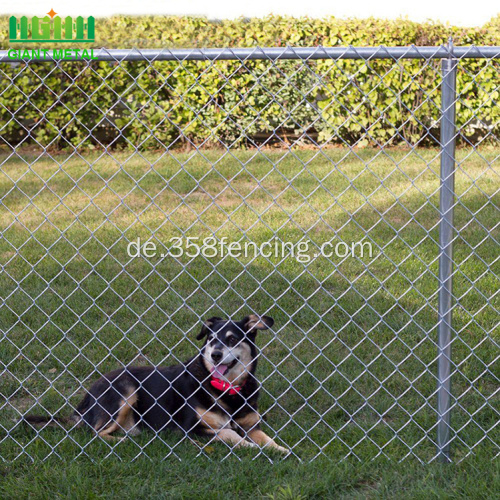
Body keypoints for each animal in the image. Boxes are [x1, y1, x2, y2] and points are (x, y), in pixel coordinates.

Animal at [24, 316, 290, 454]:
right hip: (125, 390)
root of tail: (86, 399)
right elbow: (229, 433)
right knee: (94, 433)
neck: (228, 389)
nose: (215, 355)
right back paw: (122, 441)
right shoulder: (191, 428)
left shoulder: (251, 424)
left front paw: (280, 449)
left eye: (233, 339)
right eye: (211, 339)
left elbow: (267, 438)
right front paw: (250, 447)